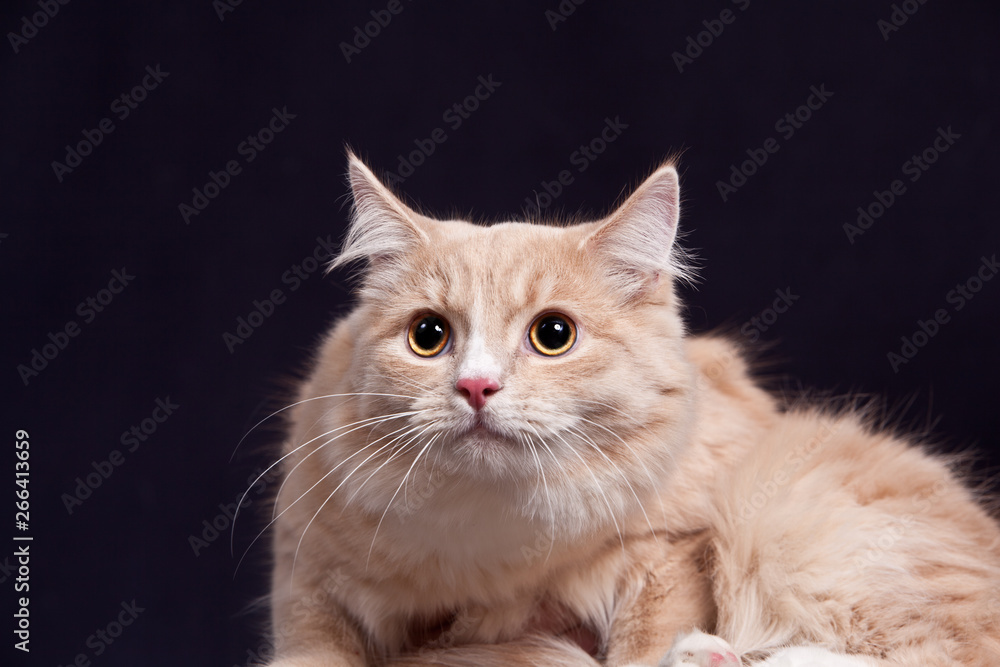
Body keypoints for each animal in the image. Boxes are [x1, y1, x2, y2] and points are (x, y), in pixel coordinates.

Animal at [258, 153, 1000, 667]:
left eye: (553, 335)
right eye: (428, 336)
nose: (476, 387)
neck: (492, 546)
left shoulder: (675, 546)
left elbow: (642, 645)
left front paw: (690, 650)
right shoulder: (306, 579)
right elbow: (312, 652)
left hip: (789, 507)